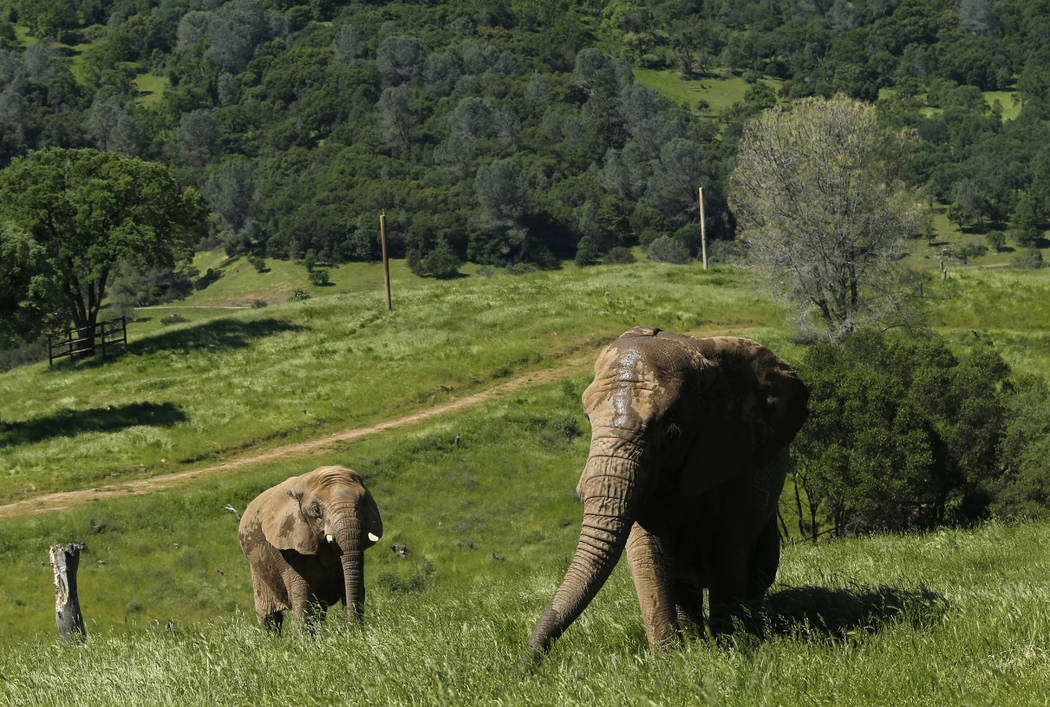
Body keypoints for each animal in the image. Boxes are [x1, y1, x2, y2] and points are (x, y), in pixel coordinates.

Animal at [240, 462, 384, 630]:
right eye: (316, 510)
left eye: (363, 502)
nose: (352, 628)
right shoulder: (289, 548)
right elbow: (303, 601)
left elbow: (353, 587)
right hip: (257, 570)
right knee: (269, 618)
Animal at [529, 327, 806, 659]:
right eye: (587, 418)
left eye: (672, 431)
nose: (524, 663)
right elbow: (647, 554)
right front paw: (669, 661)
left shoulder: (734, 464)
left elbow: (728, 552)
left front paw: (730, 648)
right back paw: (696, 642)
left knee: (760, 569)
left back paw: (748, 629)